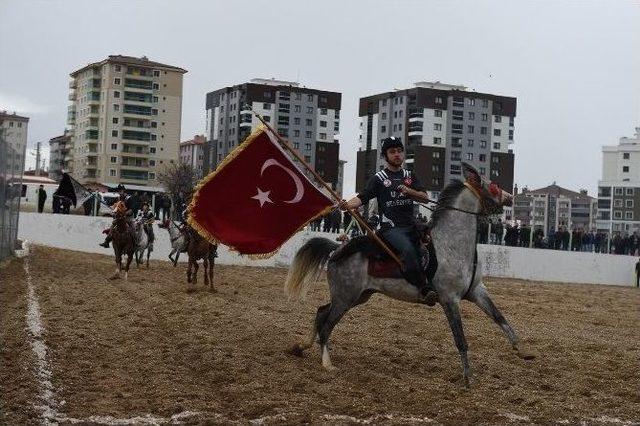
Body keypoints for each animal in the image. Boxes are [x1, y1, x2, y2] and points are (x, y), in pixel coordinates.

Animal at [284, 162, 536, 386]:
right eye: (493, 185)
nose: (510, 198)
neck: (451, 244)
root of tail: (337, 250)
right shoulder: (449, 299)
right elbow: (460, 339)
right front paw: (467, 378)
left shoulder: (476, 291)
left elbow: (500, 317)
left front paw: (523, 351)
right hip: (345, 297)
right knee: (327, 324)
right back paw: (326, 363)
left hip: (358, 296)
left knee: (320, 313)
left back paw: (301, 347)